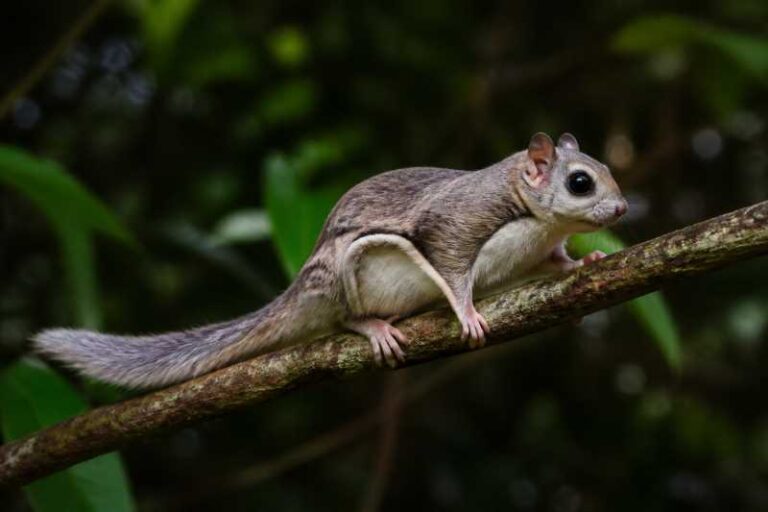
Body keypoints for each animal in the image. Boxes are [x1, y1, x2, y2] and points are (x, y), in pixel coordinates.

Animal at [33, 132, 627, 388]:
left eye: (604, 168)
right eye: (580, 182)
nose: (622, 208)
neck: (537, 220)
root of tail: (304, 288)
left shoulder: (536, 250)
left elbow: (554, 264)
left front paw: (585, 262)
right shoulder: (456, 223)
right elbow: (452, 267)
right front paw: (466, 312)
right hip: (345, 273)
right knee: (342, 317)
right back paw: (371, 326)